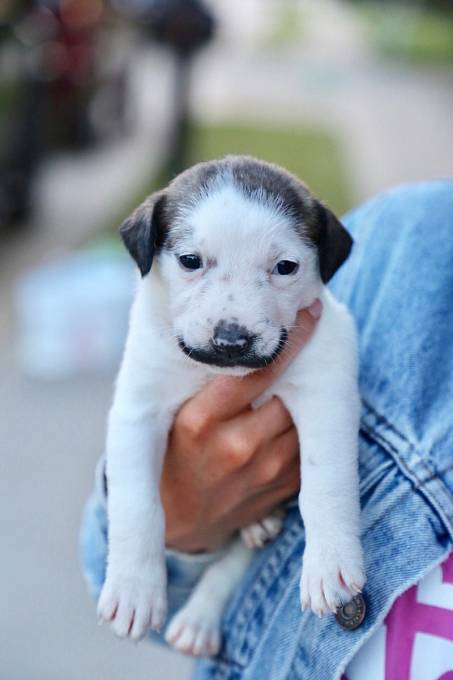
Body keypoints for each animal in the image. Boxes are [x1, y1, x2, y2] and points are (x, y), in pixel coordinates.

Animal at [98, 157, 364, 656]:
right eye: (190, 261)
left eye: (285, 267)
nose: (231, 340)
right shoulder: (137, 412)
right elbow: (136, 504)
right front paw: (133, 589)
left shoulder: (327, 395)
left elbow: (327, 485)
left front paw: (331, 563)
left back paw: (201, 616)